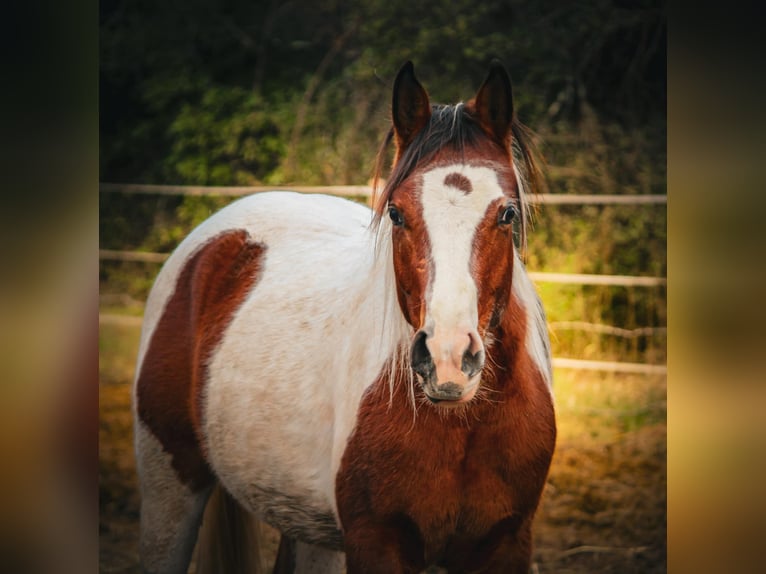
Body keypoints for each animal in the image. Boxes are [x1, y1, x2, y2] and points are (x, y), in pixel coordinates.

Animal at [132, 60, 556, 574]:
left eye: (506, 214)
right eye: (396, 213)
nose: (448, 359)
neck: (463, 426)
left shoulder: (505, 542)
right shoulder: (376, 541)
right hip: (170, 484)